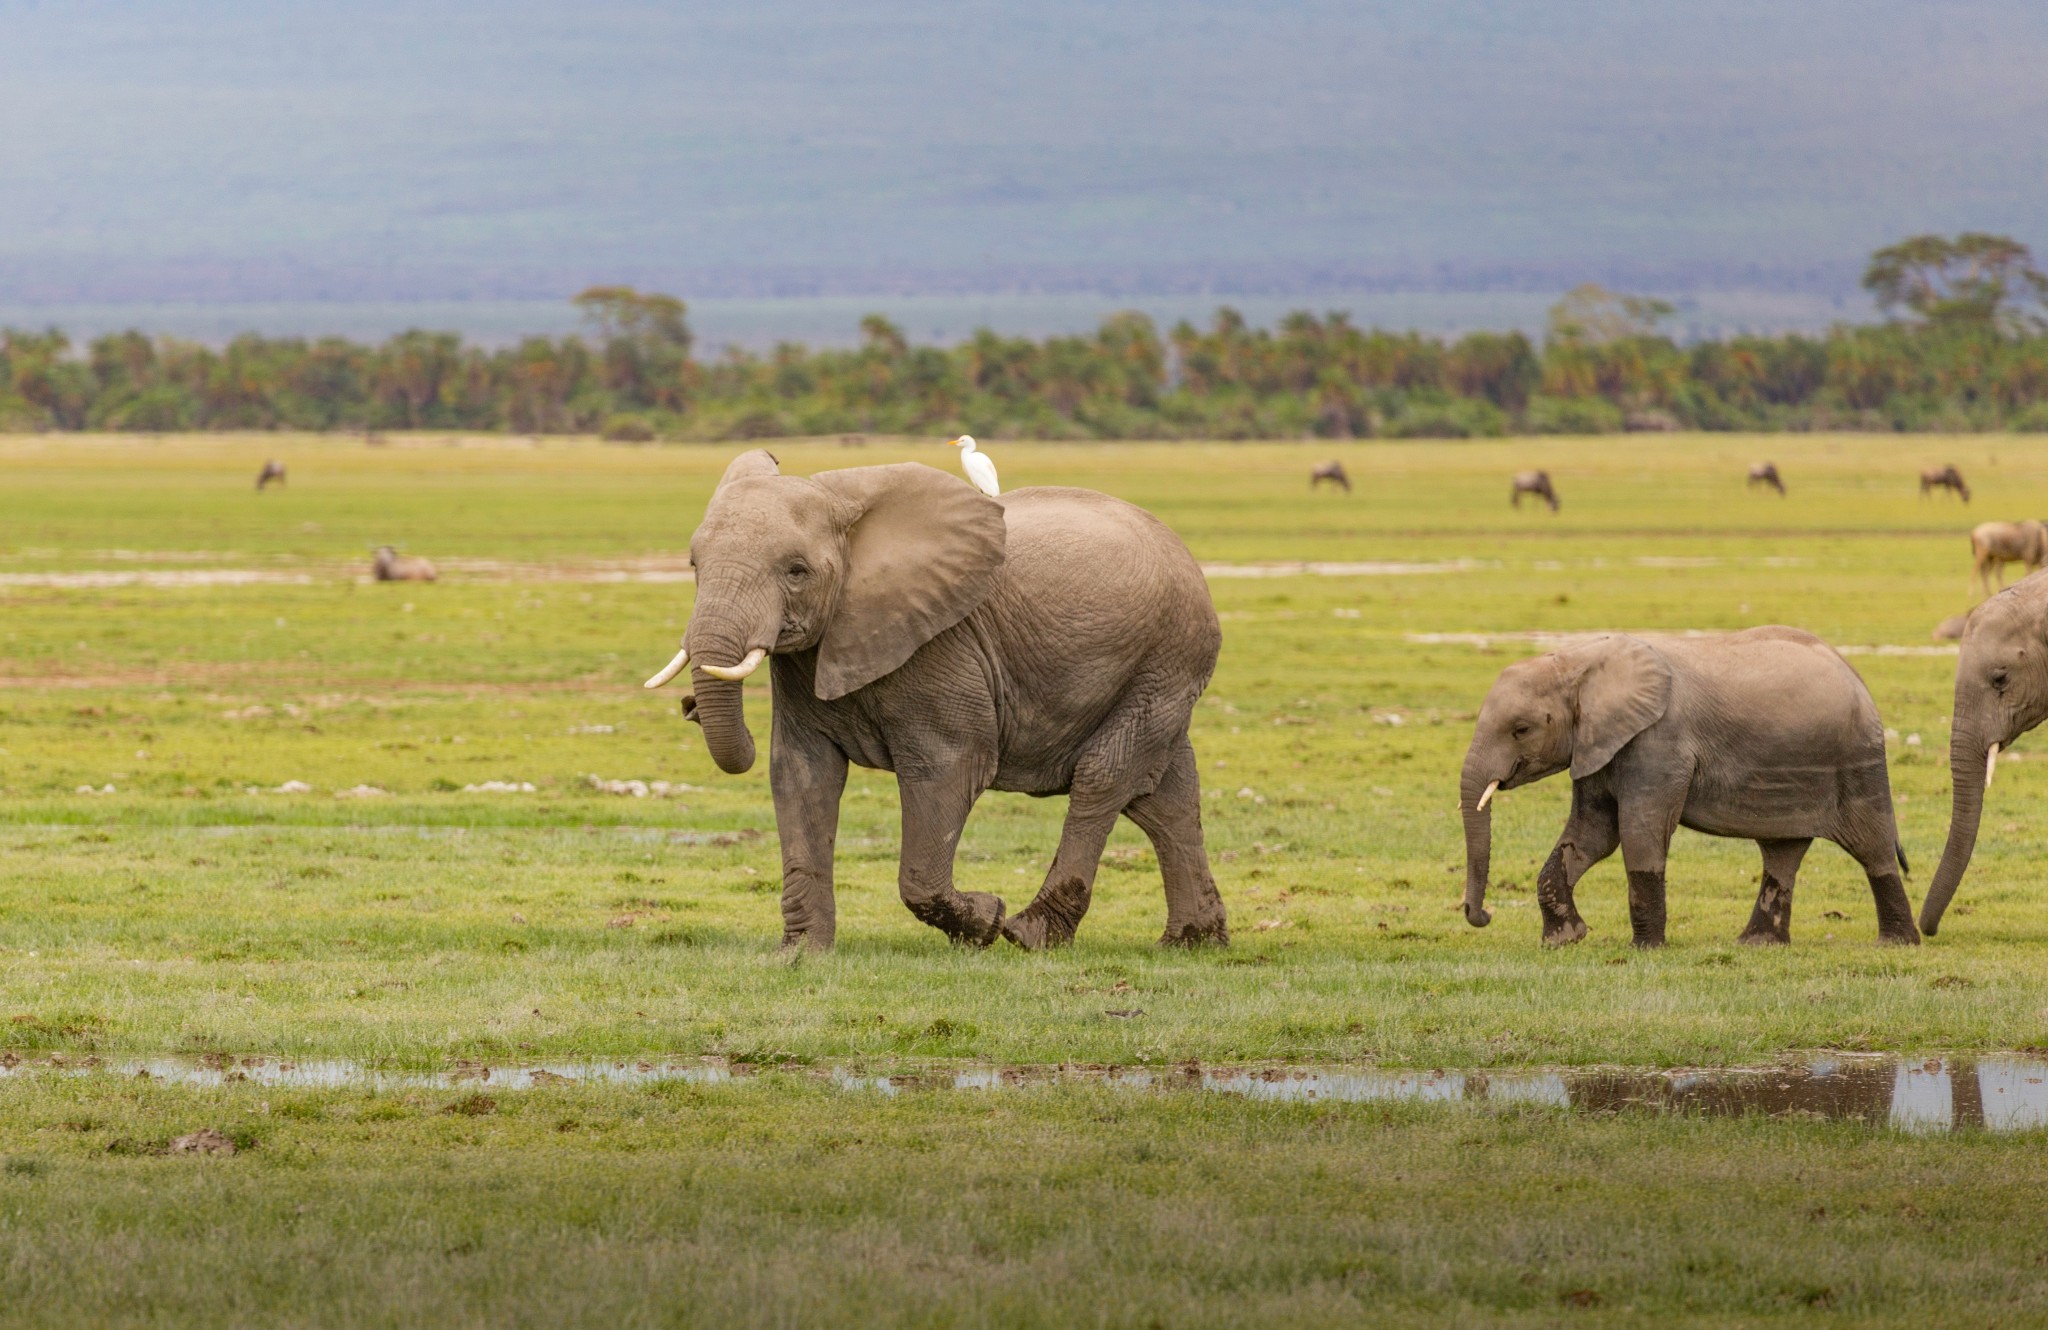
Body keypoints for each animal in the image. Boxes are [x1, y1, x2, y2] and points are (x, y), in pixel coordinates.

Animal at [651, 450, 1228, 950]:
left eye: (796, 571)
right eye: (693, 564)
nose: (689, 708)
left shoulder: (943, 647)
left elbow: (948, 768)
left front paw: (987, 920)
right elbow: (800, 773)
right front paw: (800, 954)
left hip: (1168, 657)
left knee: (1103, 779)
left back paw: (1029, 934)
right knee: (1165, 797)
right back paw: (1192, 943)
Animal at [1458, 631, 1916, 950]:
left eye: (1521, 729)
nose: (1482, 915)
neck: (1580, 661)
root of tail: (1854, 672)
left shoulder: (1659, 744)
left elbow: (1640, 834)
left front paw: (1645, 950)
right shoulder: (1597, 744)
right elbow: (1591, 836)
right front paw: (1565, 940)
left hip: (1858, 762)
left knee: (1872, 847)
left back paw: (1896, 943)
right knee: (1782, 852)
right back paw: (1758, 945)